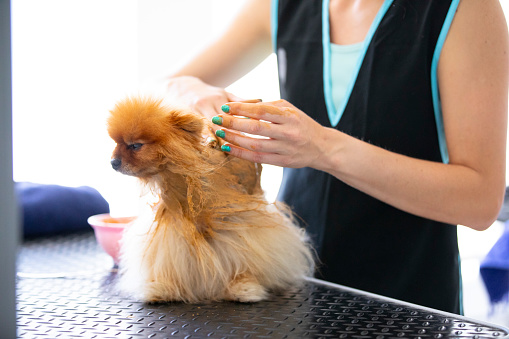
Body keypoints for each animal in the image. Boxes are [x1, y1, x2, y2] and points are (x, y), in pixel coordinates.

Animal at [107, 97, 314, 304]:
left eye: (135, 146)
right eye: (116, 144)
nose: (113, 162)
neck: (184, 183)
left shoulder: (235, 226)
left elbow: (242, 258)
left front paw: (243, 285)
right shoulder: (174, 229)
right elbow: (167, 260)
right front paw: (162, 286)